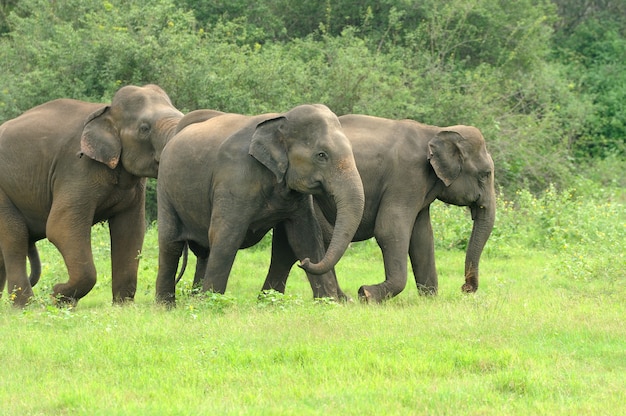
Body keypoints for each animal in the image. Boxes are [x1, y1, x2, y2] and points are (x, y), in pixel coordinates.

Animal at [0, 84, 184, 306]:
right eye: (144, 128)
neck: (106, 111)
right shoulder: (77, 168)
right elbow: (60, 227)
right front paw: (58, 297)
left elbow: (130, 230)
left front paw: (122, 307)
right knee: (15, 237)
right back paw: (24, 306)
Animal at [153, 105, 364, 306]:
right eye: (321, 155)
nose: (304, 263)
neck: (281, 119)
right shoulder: (234, 178)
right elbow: (226, 236)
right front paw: (211, 304)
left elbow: (306, 237)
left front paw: (330, 304)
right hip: (165, 190)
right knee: (171, 245)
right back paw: (166, 307)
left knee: (203, 251)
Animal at [260, 114, 494, 302]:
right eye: (485, 174)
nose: (465, 288)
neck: (435, 131)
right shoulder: (406, 177)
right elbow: (390, 231)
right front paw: (366, 294)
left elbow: (422, 237)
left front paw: (429, 298)